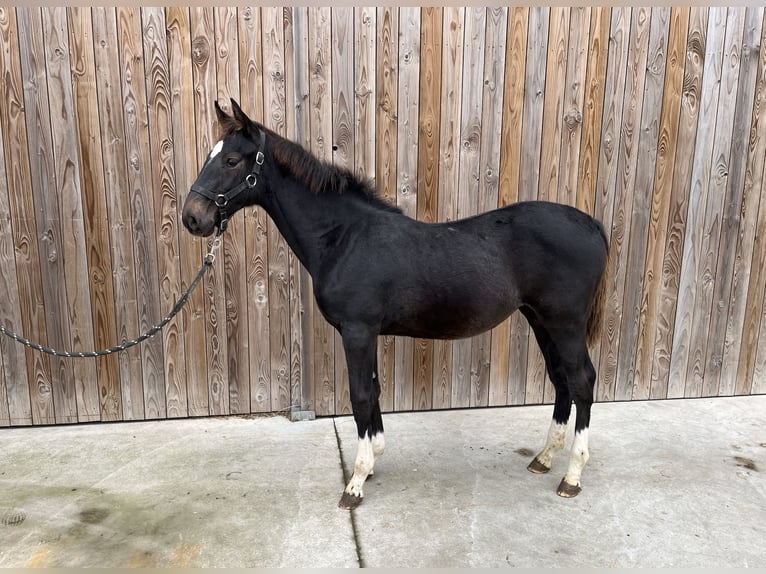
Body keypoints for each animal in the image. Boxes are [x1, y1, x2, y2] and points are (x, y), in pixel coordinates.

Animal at [183, 101, 608, 510]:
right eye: (210, 155)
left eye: (231, 160)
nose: (192, 218)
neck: (344, 237)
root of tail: (593, 225)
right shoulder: (365, 332)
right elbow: (374, 390)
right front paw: (373, 460)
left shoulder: (357, 331)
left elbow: (360, 396)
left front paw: (355, 482)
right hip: (541, 320)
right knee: (561, 379)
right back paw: (544, 458)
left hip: (565, 323)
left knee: (582, 381)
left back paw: (572, 476)